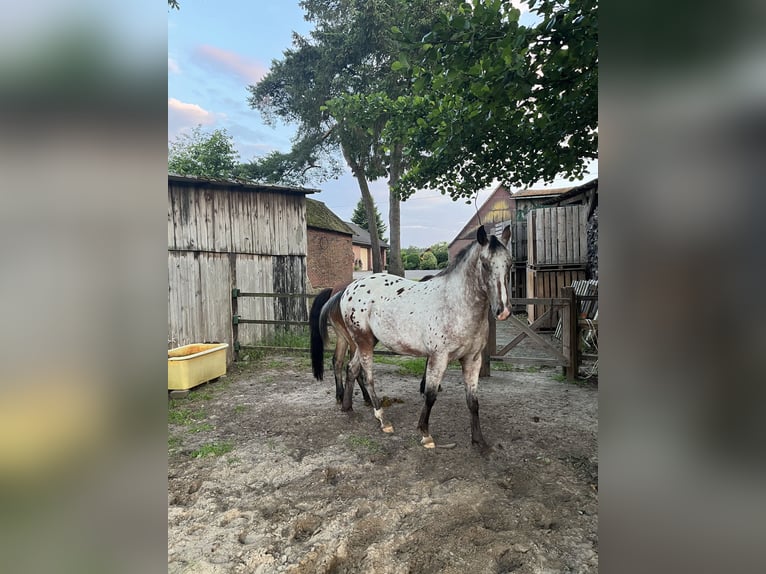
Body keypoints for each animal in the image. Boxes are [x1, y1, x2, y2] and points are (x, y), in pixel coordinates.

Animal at [308, 226, 512, 454]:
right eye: (485, 264)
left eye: (509, 263)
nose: (503, 311)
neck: (454, 304)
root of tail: (347, 289)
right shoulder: (438, 358)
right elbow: (430, 395)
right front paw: (425, 434)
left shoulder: (472, 359)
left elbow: (473, 401)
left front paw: (479, 441)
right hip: (364, 342)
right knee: (366, 376)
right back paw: (382, 419)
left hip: (364, 343)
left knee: (351, 368)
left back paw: (347, 407)